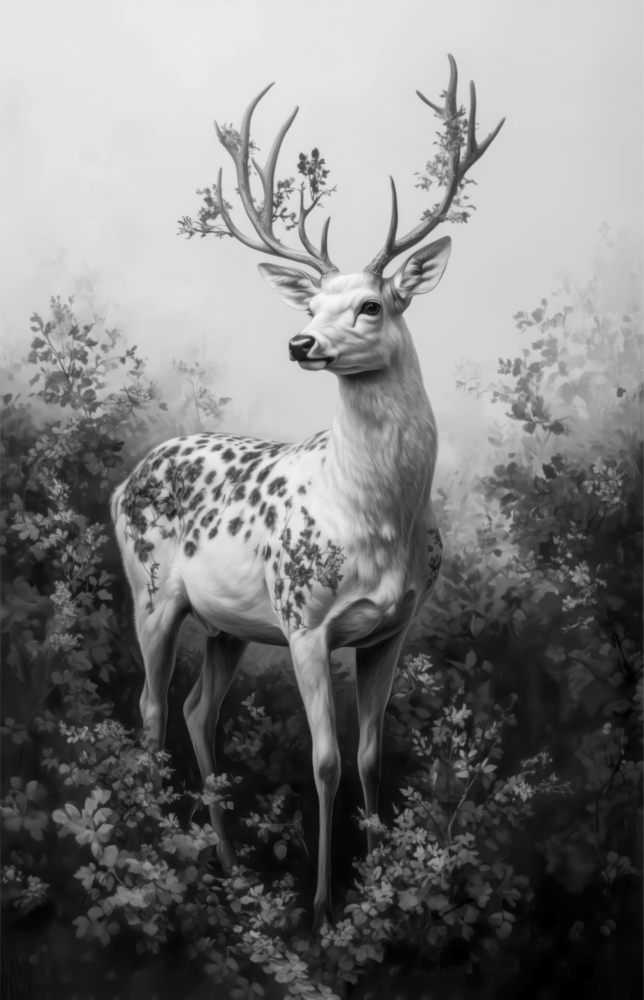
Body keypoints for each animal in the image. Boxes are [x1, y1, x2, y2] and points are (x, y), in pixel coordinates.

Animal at [111, 55, 503, 928]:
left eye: (371, 304)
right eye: (313, 303)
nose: (300, 342)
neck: (377, 519)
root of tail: (128, 476)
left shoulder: (393, 627)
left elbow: (371, 754)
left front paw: (385, 882)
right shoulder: (304, 620)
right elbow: (323, 760)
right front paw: (323, 907)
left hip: (227, 624)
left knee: (197, 710)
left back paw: (229, 867)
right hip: (151, 590)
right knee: (149, 708)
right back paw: (161, 853)